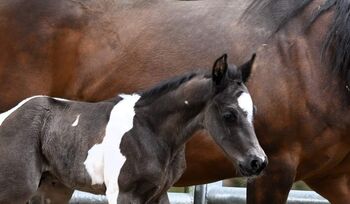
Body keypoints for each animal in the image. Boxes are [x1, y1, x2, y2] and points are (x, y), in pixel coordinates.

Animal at [0, 54, 266, 204]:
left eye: (253, 110)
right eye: (229, 114)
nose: (258, 162)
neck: (150, 130)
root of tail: (7, 115)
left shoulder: (159, 195)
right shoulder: (122, 193)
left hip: (53, 188)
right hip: (16, 189)